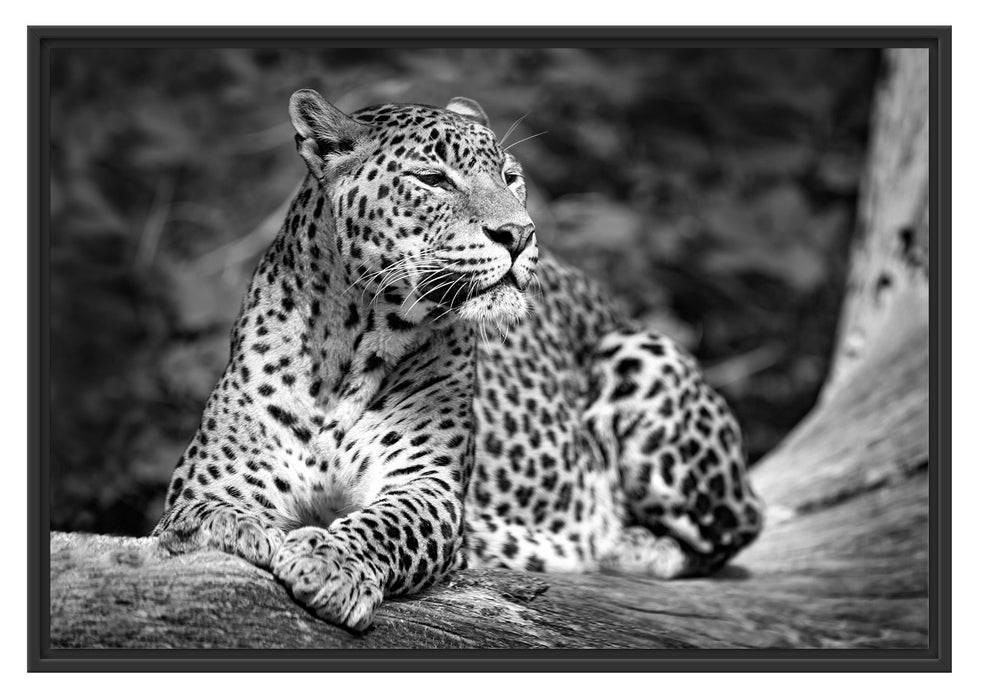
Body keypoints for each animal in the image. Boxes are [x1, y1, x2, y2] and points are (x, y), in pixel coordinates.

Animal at [153, 89, 764, 632]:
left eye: (511, 177)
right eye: (433, 179)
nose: (519, 233)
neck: (351, 344)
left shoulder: (430, 486)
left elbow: (385, 525)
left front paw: (328, 562)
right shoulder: (212, 475)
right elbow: (200, 511)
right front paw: (233, 527)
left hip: (642, 354)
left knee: (736, 529)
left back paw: (620, 543)